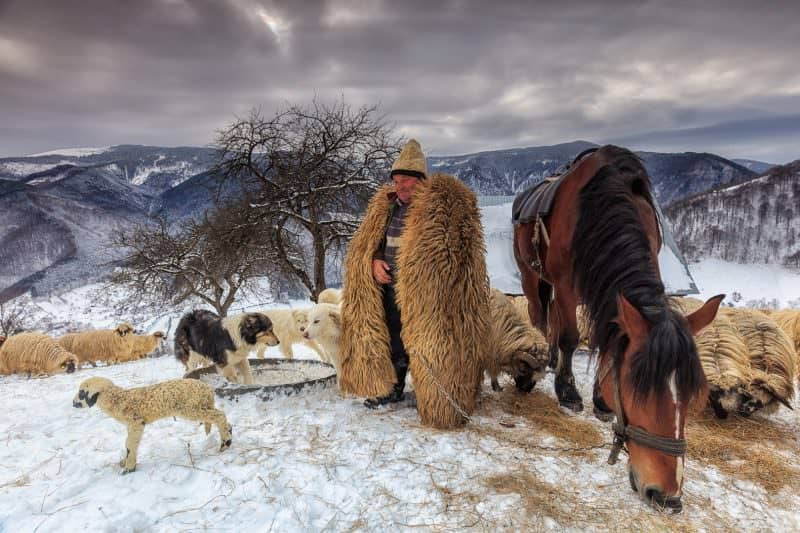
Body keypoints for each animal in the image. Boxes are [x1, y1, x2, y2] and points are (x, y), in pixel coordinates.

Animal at [72, 376, 231, 472]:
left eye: (82, 393)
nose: (73, 403)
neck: (118, 400)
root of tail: (208, 389)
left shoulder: (136, 422)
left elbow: (130, 445)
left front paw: (129, 468)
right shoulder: (131, 425)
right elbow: (128, 444)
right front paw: (124, 463)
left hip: (191, 408)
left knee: (219, 415)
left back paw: (225, 444)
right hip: (200, 406)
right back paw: (228, 434)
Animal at [516, 145, 720, 512]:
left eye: (690, 396)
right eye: (639, 392)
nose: (667, 497)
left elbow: (608, 340)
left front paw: (600, 400)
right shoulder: (566, 286)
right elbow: (569, 337)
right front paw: (568, 393)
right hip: (532, 277)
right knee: (541, 317)